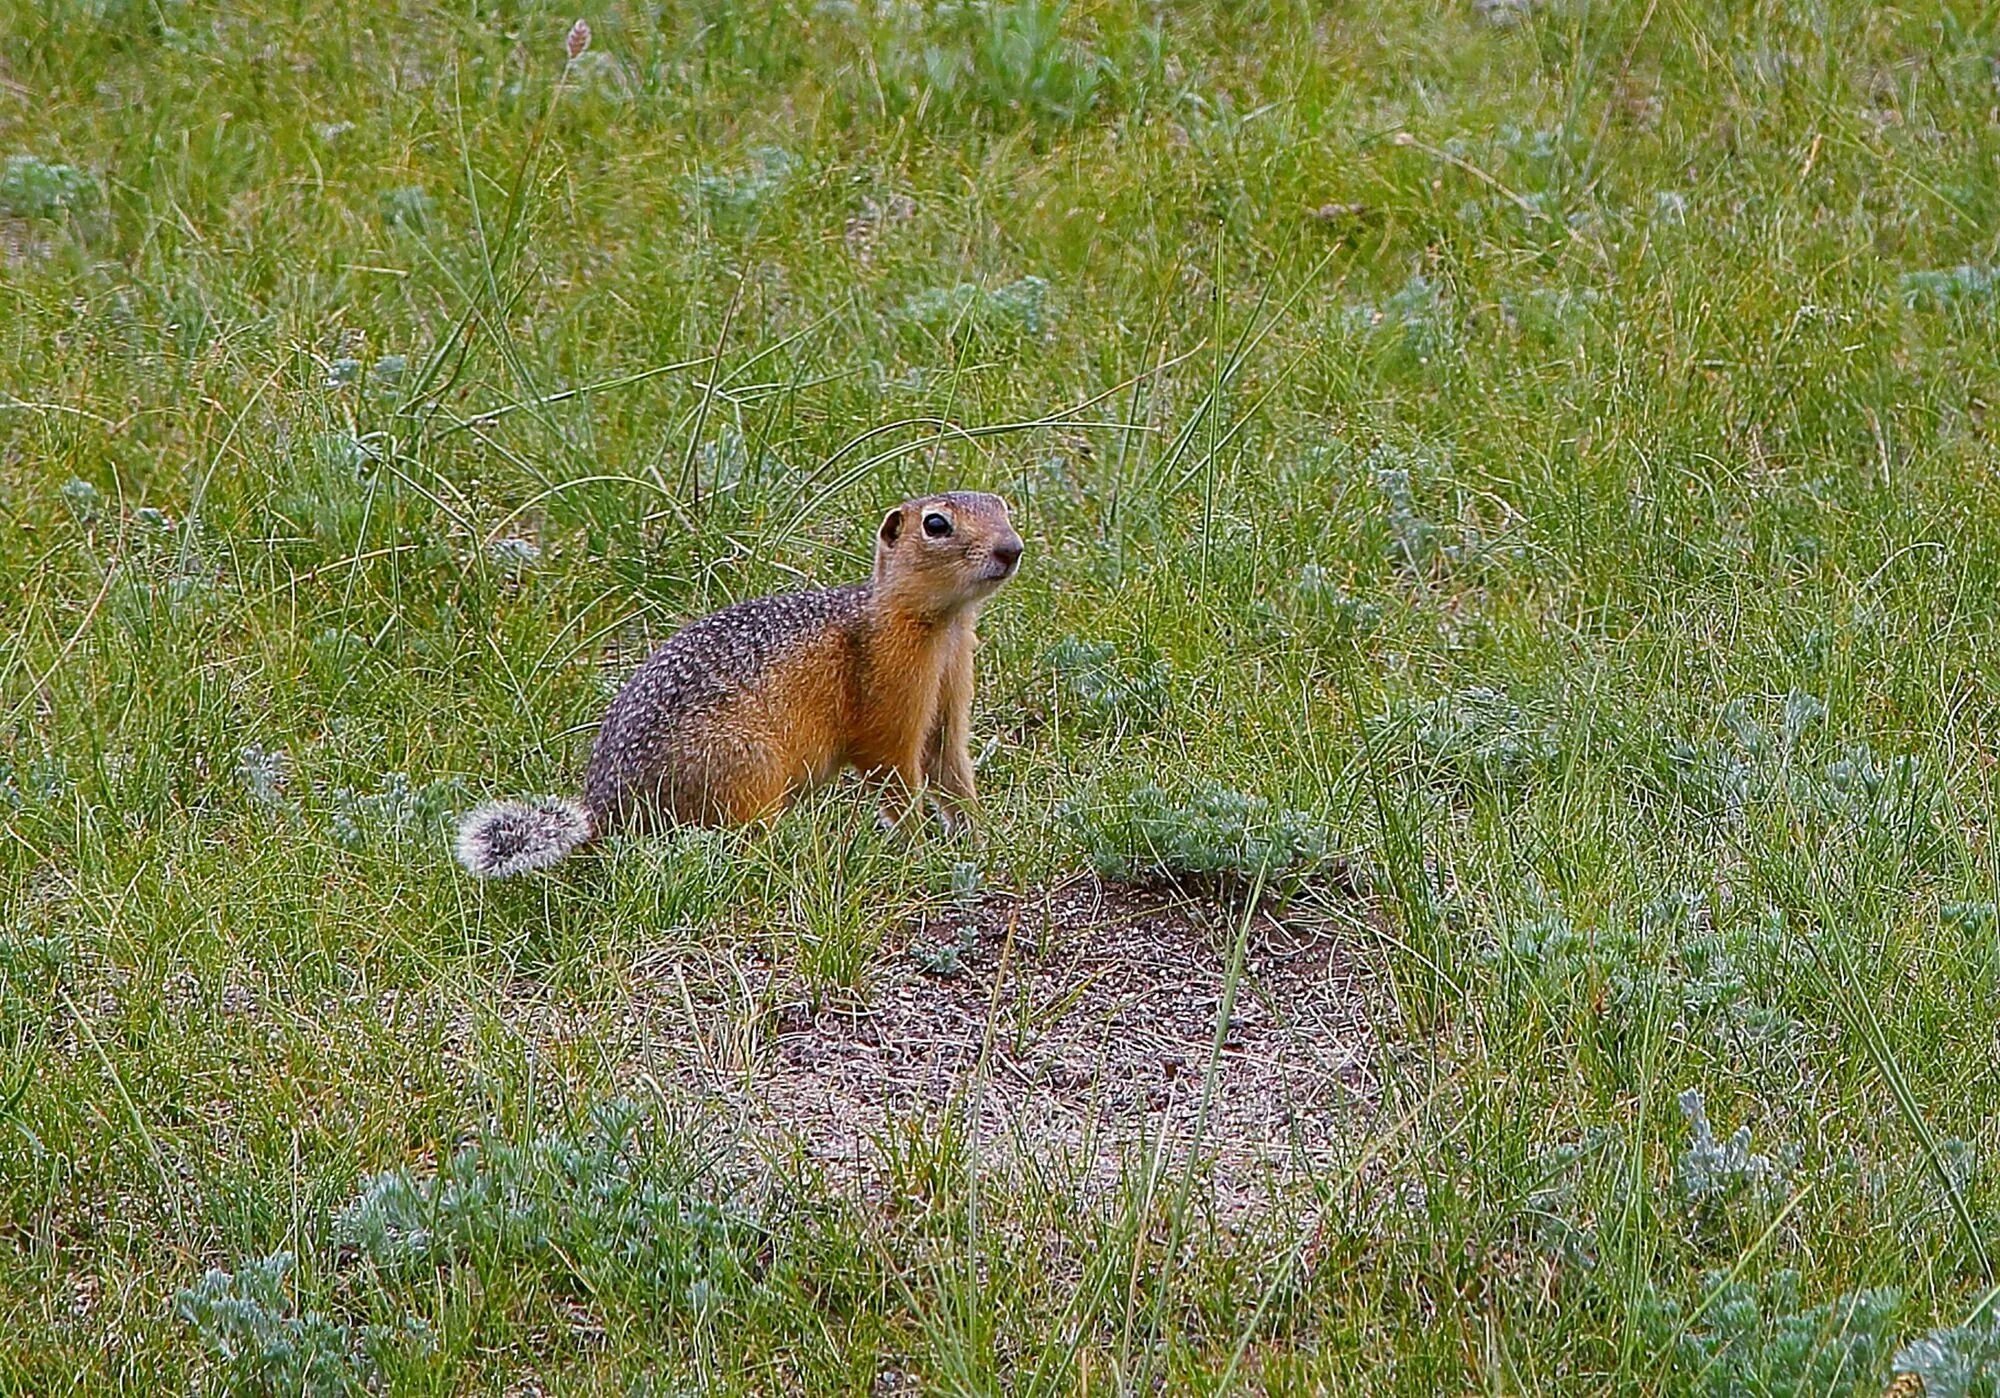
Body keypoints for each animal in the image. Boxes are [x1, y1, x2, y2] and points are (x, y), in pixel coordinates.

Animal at [450, 498, 1016, 880]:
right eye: (936, 523)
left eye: (1003, 506)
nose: (1012, 548)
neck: (942, 625)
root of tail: (605, 817)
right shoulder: (890, 696)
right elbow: (894, 770)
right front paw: (919, 849)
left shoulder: (949, 692)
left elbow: (950, 766)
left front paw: (982, 837)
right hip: (746, 770)